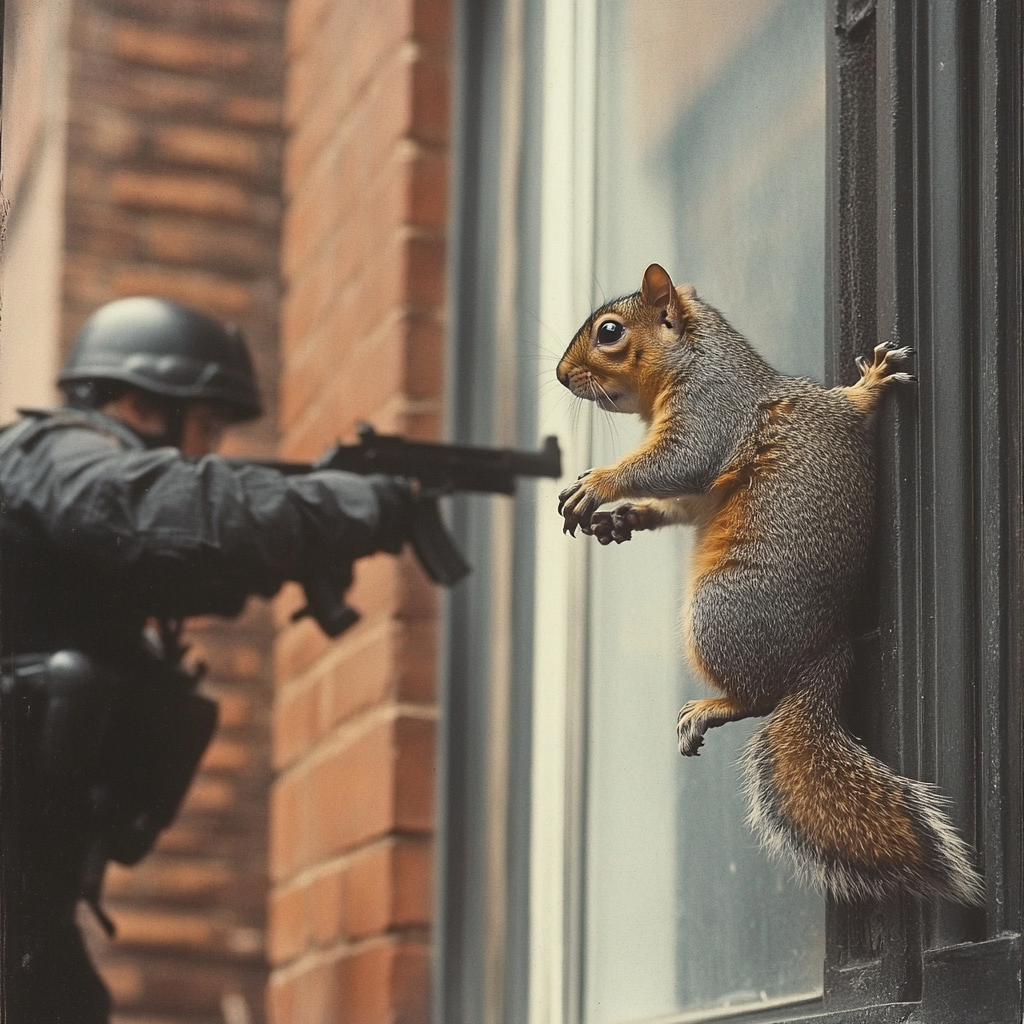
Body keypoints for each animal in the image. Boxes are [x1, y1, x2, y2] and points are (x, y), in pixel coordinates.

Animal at [561, 262, 983, 905]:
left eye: (609, 332)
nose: (561, 375)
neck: (692, 360)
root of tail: (824, 652)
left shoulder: (711, 412)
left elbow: (676, 462)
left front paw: (602, 484)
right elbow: (681, 500)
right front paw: (624, 517)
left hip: (719, 611)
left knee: (760, 698)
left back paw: (714, 705)